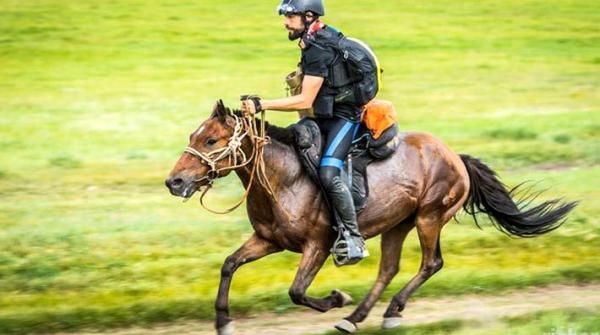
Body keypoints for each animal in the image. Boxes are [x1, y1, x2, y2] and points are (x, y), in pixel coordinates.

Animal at [164, 101, 576, 335]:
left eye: (211, 141)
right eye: (193, 136)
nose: (174, 181)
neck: (284, 178)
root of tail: (455, 156)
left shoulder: (318, 244)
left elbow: (297, 291)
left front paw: (336, 297)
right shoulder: (269, 240)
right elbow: (229, 264)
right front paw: (223, 321)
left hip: (430, 217)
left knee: (431, 263)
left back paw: (387, 311)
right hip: (398, 224)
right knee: (389, 269)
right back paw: (357, 317)